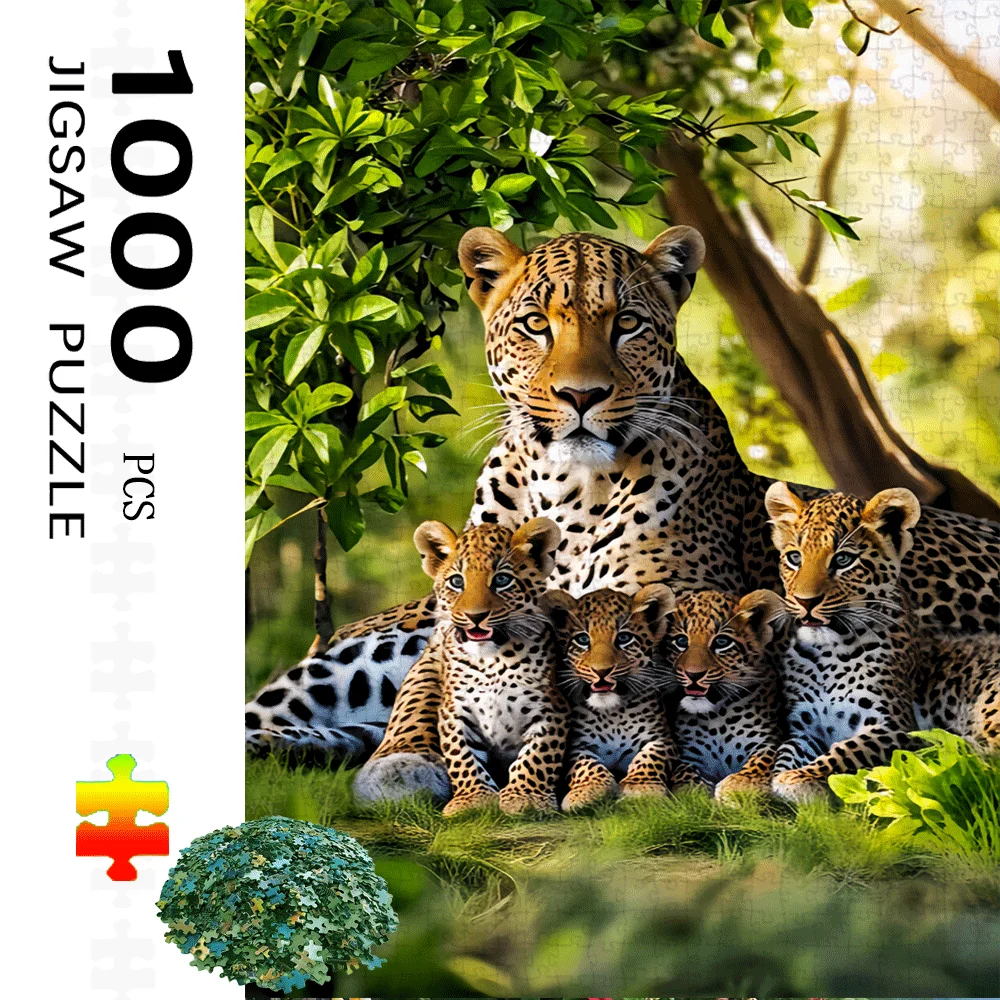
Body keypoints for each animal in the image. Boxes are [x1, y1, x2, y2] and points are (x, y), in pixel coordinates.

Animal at [355, 516, 569, 816]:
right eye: (457, 581)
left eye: (502, 580)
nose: (475, 616)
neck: (491, 661)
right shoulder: (455, 711)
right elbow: (462, 756)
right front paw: (473, 798)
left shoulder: (550, 709)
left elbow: (537, 756)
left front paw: (526, 796)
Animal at [541, 584, 685, 811]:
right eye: (583, 640)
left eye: (624, 638)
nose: (601, 671)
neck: (612, 713)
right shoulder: (577, 746)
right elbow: (585, 765)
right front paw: (586, 790)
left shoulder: (662, 738)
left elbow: (650, 758)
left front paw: (641, 787)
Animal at [662, 589, 786, 801]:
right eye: (681, 641)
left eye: (722, 642)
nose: (693, 675)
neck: (716, 717)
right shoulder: (690, 753)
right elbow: (682, 772)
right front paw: (694, 793)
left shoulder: (767, 741)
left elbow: (762, 762)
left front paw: (738, 786)